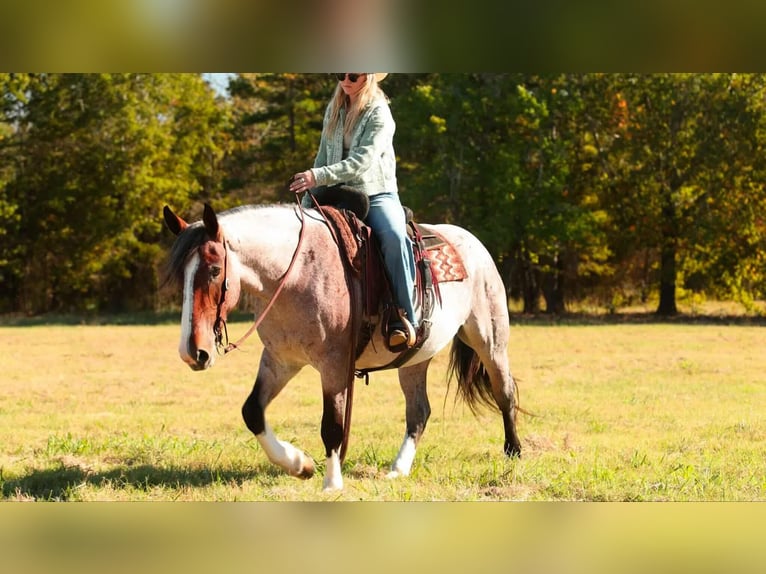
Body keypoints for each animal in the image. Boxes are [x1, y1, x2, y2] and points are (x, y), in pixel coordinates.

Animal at [162, 201, 521, 491]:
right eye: (181, 277)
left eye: (213, 270)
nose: (193, 352)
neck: (295, 274)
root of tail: (471, 242)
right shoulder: (280, 360)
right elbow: (252, 411)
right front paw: (299, 464)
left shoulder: (334, 364)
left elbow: (332, 426)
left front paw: (331, 484)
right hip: (415, 357)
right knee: (419, 412)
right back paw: (398, 468)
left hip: (490, 340)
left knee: (504, 393)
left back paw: (513, 451)